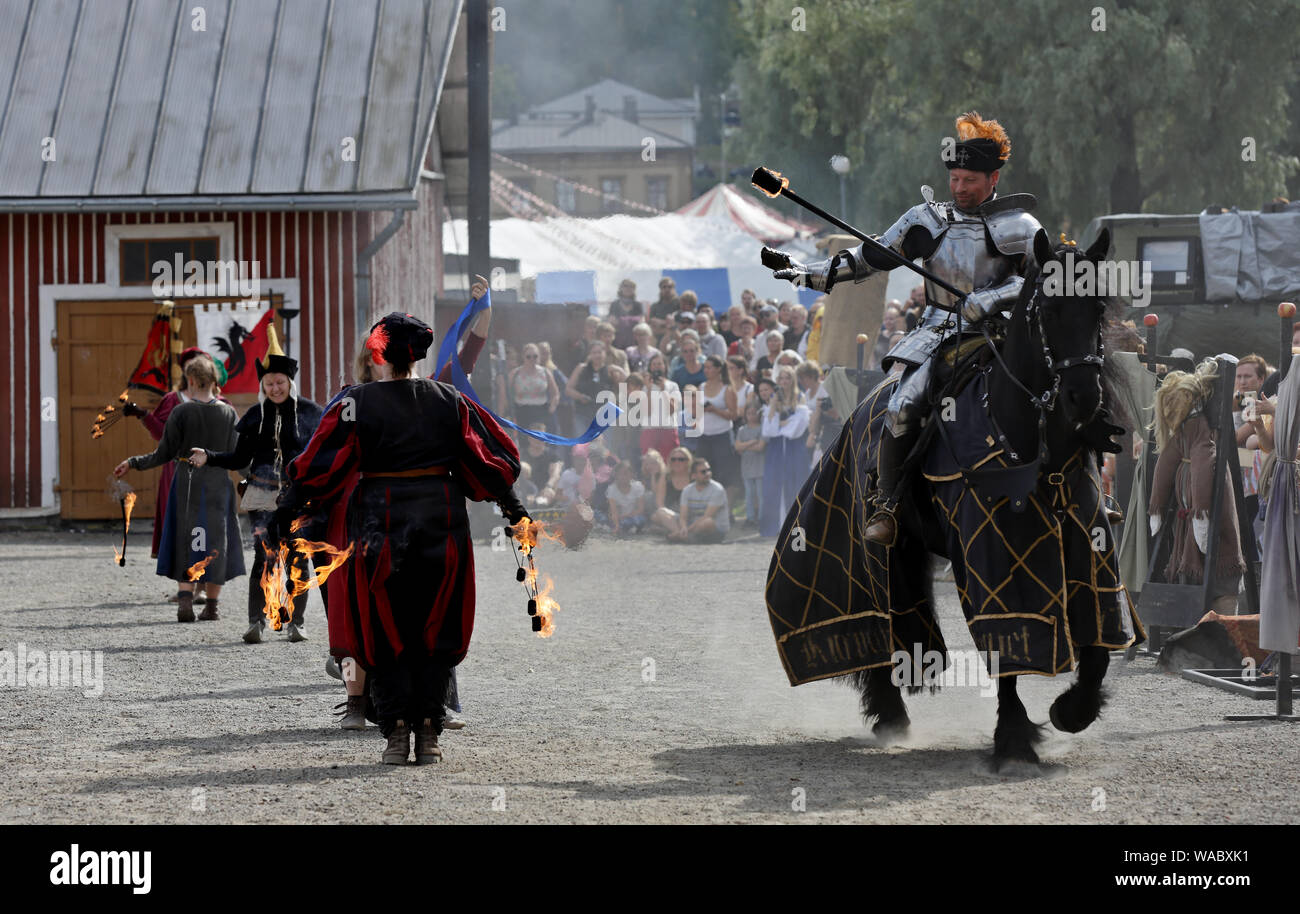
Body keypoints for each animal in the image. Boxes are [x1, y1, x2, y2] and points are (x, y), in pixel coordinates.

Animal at [764, 224, 1144, 769]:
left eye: (1096, 309)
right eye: (1049, 311)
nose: (1083, 400)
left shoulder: (1090, 546)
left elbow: (1099, 643)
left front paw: (1073, 710)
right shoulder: (996, 556)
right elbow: (1008, 647)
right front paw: (1014, 737)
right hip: (868, 545)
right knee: (876, 620)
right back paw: (890, 714)